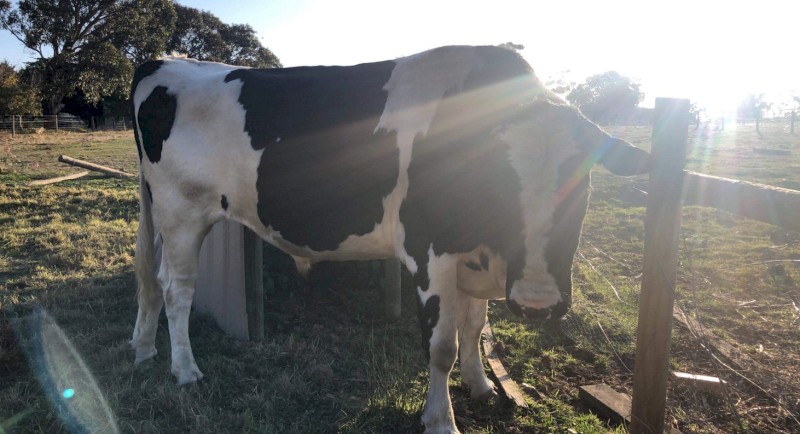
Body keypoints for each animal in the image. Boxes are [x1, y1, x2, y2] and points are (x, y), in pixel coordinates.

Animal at [129, 45, 649, 434]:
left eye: (584, 185)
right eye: (496, 183)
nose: (537, 304)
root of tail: (163, 61)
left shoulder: (475, 260)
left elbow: (474, 328)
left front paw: (481, 387)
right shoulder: (430, 252)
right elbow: (442, 345)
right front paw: (440, 419)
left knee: (151, 281)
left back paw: (144, 347)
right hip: (181, 212)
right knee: (178, 291)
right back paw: (184, 369)